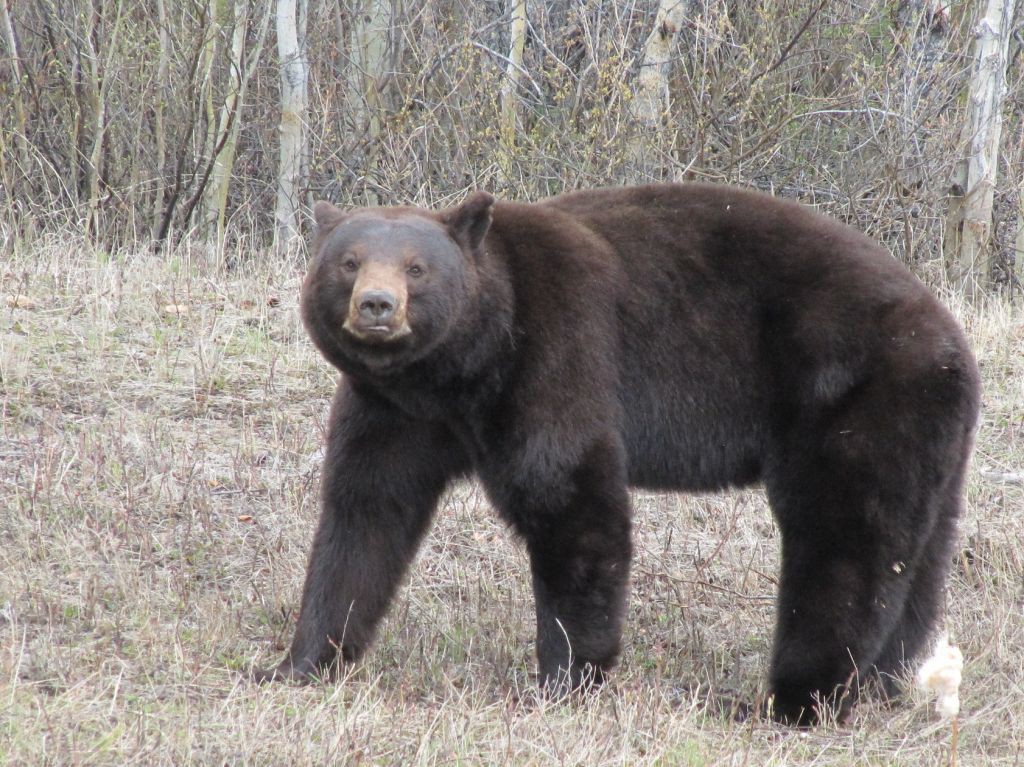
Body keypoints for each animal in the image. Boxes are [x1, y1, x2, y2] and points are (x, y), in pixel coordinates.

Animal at [253, 183, 980, 725]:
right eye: (348, 262)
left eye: (416, 267)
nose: (377, 306)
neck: (459, 370)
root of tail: (950, 340)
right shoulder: (394, 409)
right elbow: (365, 513)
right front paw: (298, 662)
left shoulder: (554, 351)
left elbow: (571, 500)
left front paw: (566, 677)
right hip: (934, 442)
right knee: (918, 559)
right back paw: (883, 683)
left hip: (852, 398)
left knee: (843, 540)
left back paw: (791, 701)